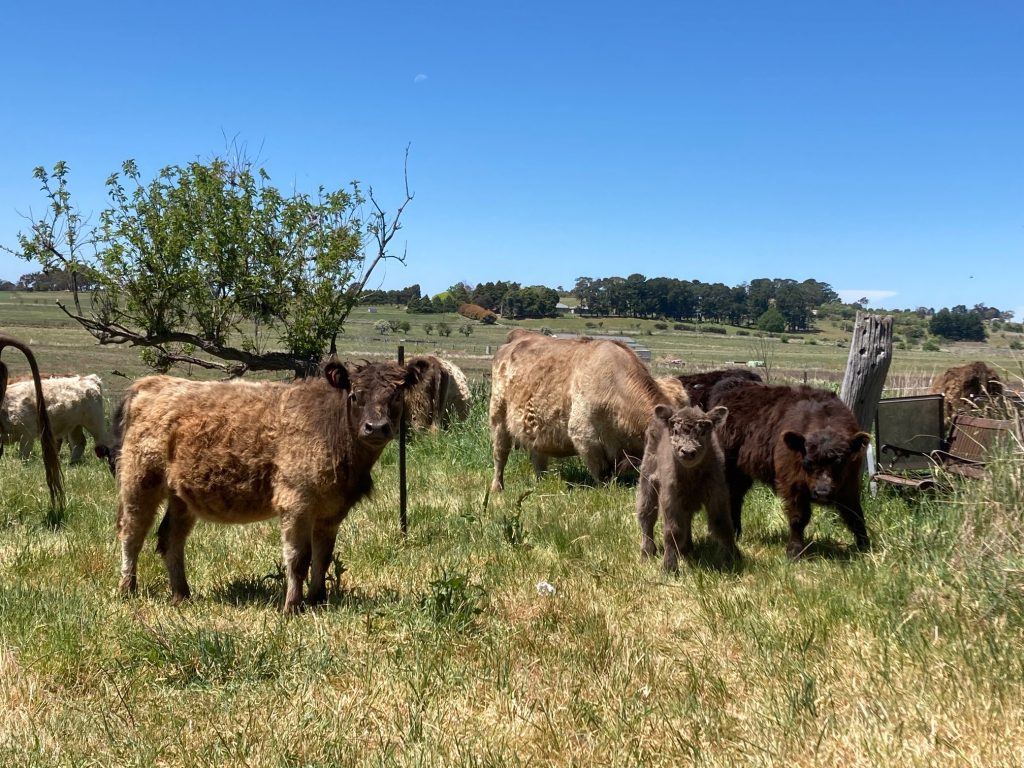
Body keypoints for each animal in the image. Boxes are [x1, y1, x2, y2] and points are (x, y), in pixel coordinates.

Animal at [112, 356, 430, 613]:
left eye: (397, 395)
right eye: (354, 395)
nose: (376, 427)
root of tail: (152, 383)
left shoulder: (331, 512)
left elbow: (323, 557)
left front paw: (318, 600)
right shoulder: (297, 502)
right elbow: (299, 558)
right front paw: (292, 607)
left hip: (181, 496)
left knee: (170, 539)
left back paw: (182, 594)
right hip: (140, 480)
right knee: (132, 534)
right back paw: (127, 589)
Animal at [488, 329, 688, 491]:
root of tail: (519, 336)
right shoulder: (586, 437)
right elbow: (602, 477)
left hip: (536, 429)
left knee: (538, 459)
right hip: (498, 417)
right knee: (500, 455)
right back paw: (497, 488)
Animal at [636, 403, 737, 571]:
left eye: (703, 432)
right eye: (676, 431)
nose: (688, 452)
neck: (691, 476)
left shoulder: (718, 494)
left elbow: (723, 525)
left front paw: (734, 558)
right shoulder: (670, 498)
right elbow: (673, 531)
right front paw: (669, 567)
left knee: (686, 518)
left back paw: (686, 548)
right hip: (647, 479)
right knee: (647, 515)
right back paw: (647, 552)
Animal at [711, 383, 871, 558]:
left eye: (840, 463)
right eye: (808, 462)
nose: (822, 492)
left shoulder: (849, 486)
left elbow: (856, 515)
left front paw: (865, 546)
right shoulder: (793, 484)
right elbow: (798, 518)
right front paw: (794, 551)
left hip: (741, 474)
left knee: (736, 498)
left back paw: (736, 534)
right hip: (728, 470)